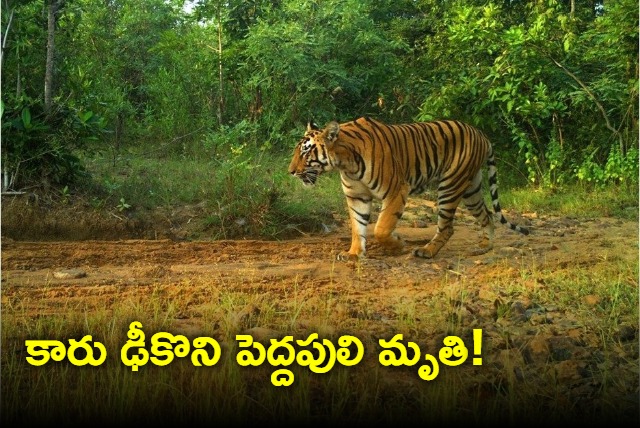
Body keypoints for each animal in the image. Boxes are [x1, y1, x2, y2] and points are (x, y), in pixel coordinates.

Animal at [288, 116, 529, 260]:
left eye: (305, 152)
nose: (290, 171)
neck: (346, 164)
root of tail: (481, 134)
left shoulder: (397, 190)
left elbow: (381, 228)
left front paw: (398, 245)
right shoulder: (357, 196)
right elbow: (358, 228)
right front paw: (353, 254)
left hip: (450, 185)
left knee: (447, 227)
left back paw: (426, 251)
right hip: (471, 188)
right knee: (487, 215)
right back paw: (485, 246)